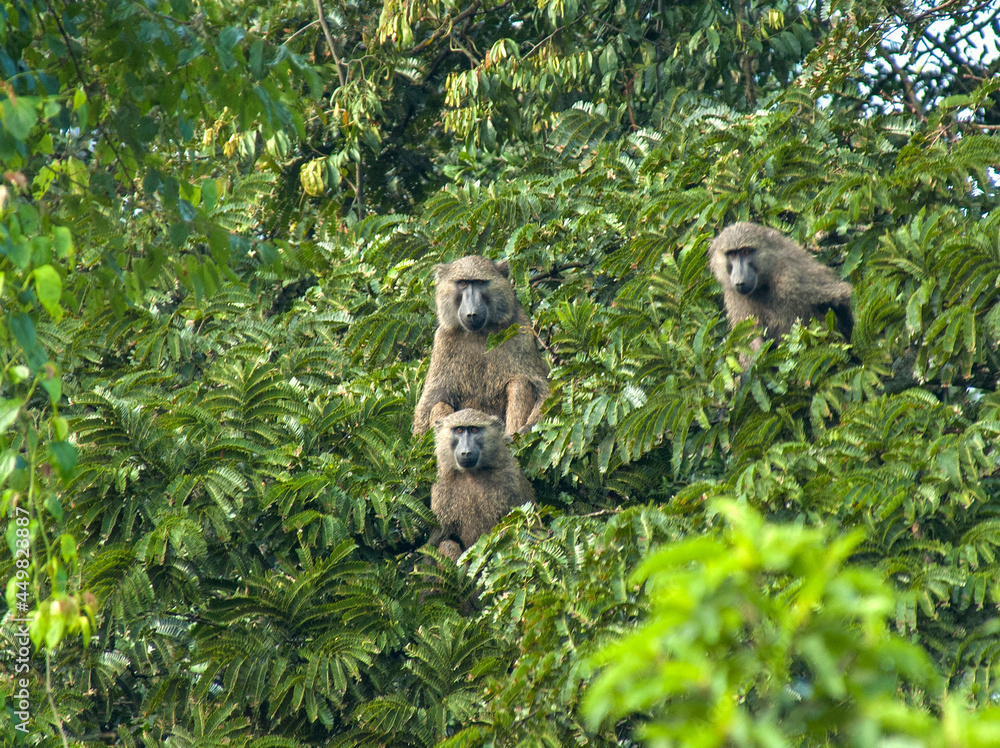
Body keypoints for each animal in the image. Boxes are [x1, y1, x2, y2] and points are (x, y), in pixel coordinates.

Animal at [413, 256, 549, 437]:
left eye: (479, 282)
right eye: (463, 283)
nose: (471, 313)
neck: (480, 332)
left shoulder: (521, 329)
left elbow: (545, 392)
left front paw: (523, 432)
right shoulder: (443, 340)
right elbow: (430, 403)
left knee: (520, 383)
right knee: (439, 405)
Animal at [425, 409, 535, 555]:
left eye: (474, 429)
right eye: (459, 430)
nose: (466, 452)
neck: (471, 474)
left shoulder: (510, 481)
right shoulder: (441, 488)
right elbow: (438, 539)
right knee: (447, 544)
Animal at [709, 222, 853, 358]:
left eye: (746, 252)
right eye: (732, 254)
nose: (740, 279)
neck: (763, 282)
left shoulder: (790, 278)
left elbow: (844, 296)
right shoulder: (734, 296)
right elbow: (750, 336)